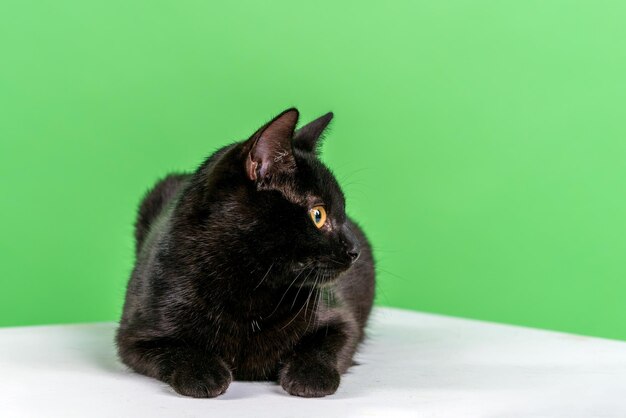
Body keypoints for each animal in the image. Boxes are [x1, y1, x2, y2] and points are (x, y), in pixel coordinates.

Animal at [115, 108, 372, 398]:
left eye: (343, 214)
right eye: (318, 215)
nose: (355, 250)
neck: (249, 288)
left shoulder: (341, 318)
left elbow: (325, 345)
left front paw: (311, 376)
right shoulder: (135, 334)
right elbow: (175, 349)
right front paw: (203, 373)